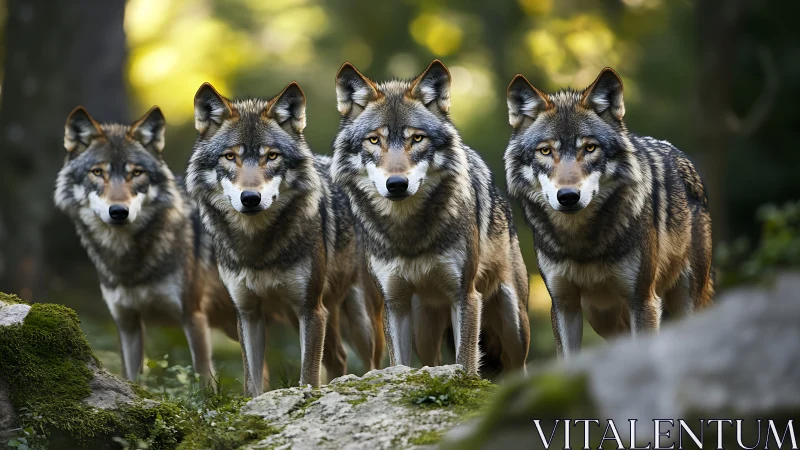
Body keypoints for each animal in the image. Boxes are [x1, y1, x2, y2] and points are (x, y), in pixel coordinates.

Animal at [54, 106, 241, 383]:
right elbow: (133, 378)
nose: (118, 212)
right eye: (97, 172)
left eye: (136, 173)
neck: (129, 261)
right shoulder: (127, 323)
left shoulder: (193, 316)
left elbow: (204, 381)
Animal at [186, 81, 383, 395]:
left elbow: (308, 375)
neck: (259, 249)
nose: (250, 198)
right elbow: (252, 383)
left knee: (374, 362)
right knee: (338, 357)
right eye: (230, 156)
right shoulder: (248, 314)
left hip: (359, 319)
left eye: (272, 156)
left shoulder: (310, 309)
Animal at [331, 60, 531, 377]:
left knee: (518, 365)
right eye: (374, 140)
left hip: (513, 323)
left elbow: (465, 362)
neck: (409, 234)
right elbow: (399, 364)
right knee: (432, 363)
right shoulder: (395, 303)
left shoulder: (465, 296)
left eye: (417, 138)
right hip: (424, 330)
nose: (396, 184)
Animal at [504, 68, 714, 356]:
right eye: (545, 151)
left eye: (590, 148)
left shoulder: (643, 300)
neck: (582, 244)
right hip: (602, 317)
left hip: (686, 301)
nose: (567, 196)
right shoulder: (564, 305)